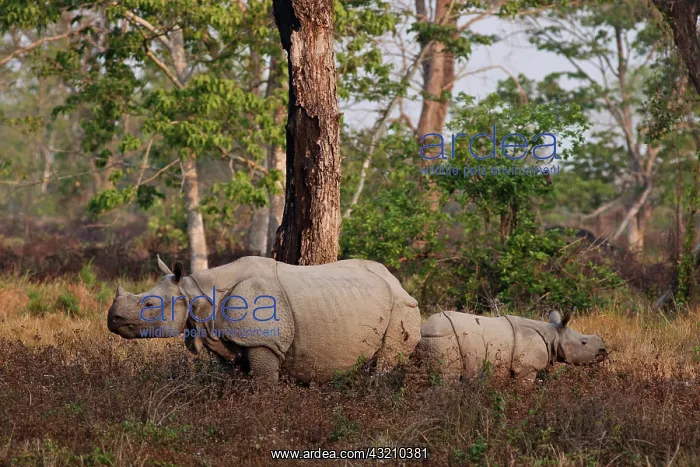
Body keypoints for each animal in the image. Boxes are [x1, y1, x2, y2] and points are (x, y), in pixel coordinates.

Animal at [107, 256, 421, 384]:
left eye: (149, 304)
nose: (113, 319)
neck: (195, 291)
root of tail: (399, 283)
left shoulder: (264, 342)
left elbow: (264, 384)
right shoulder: (225, 340)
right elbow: (232, 379)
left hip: (402, 306)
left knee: (386, 362)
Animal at [416, 310, 607, 381]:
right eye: (583, 342)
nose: (604, 350)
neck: (553, 335)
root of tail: (424, 328)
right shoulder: (527, 368)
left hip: (432, 339)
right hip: (444, 338)